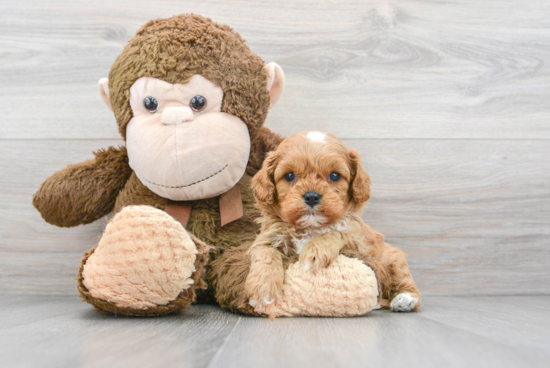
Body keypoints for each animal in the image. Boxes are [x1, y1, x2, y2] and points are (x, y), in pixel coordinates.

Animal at [246, 131, 422, 312]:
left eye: (335, 176)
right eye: (289, 176)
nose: (311, 196)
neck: (311, 228)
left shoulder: (361, 242)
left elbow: (336, 232)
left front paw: (314, 251)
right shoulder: (267, 238)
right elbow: (265, 255)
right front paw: (263, 288)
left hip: (392, 257)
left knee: (404, 278)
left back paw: (405, 299)